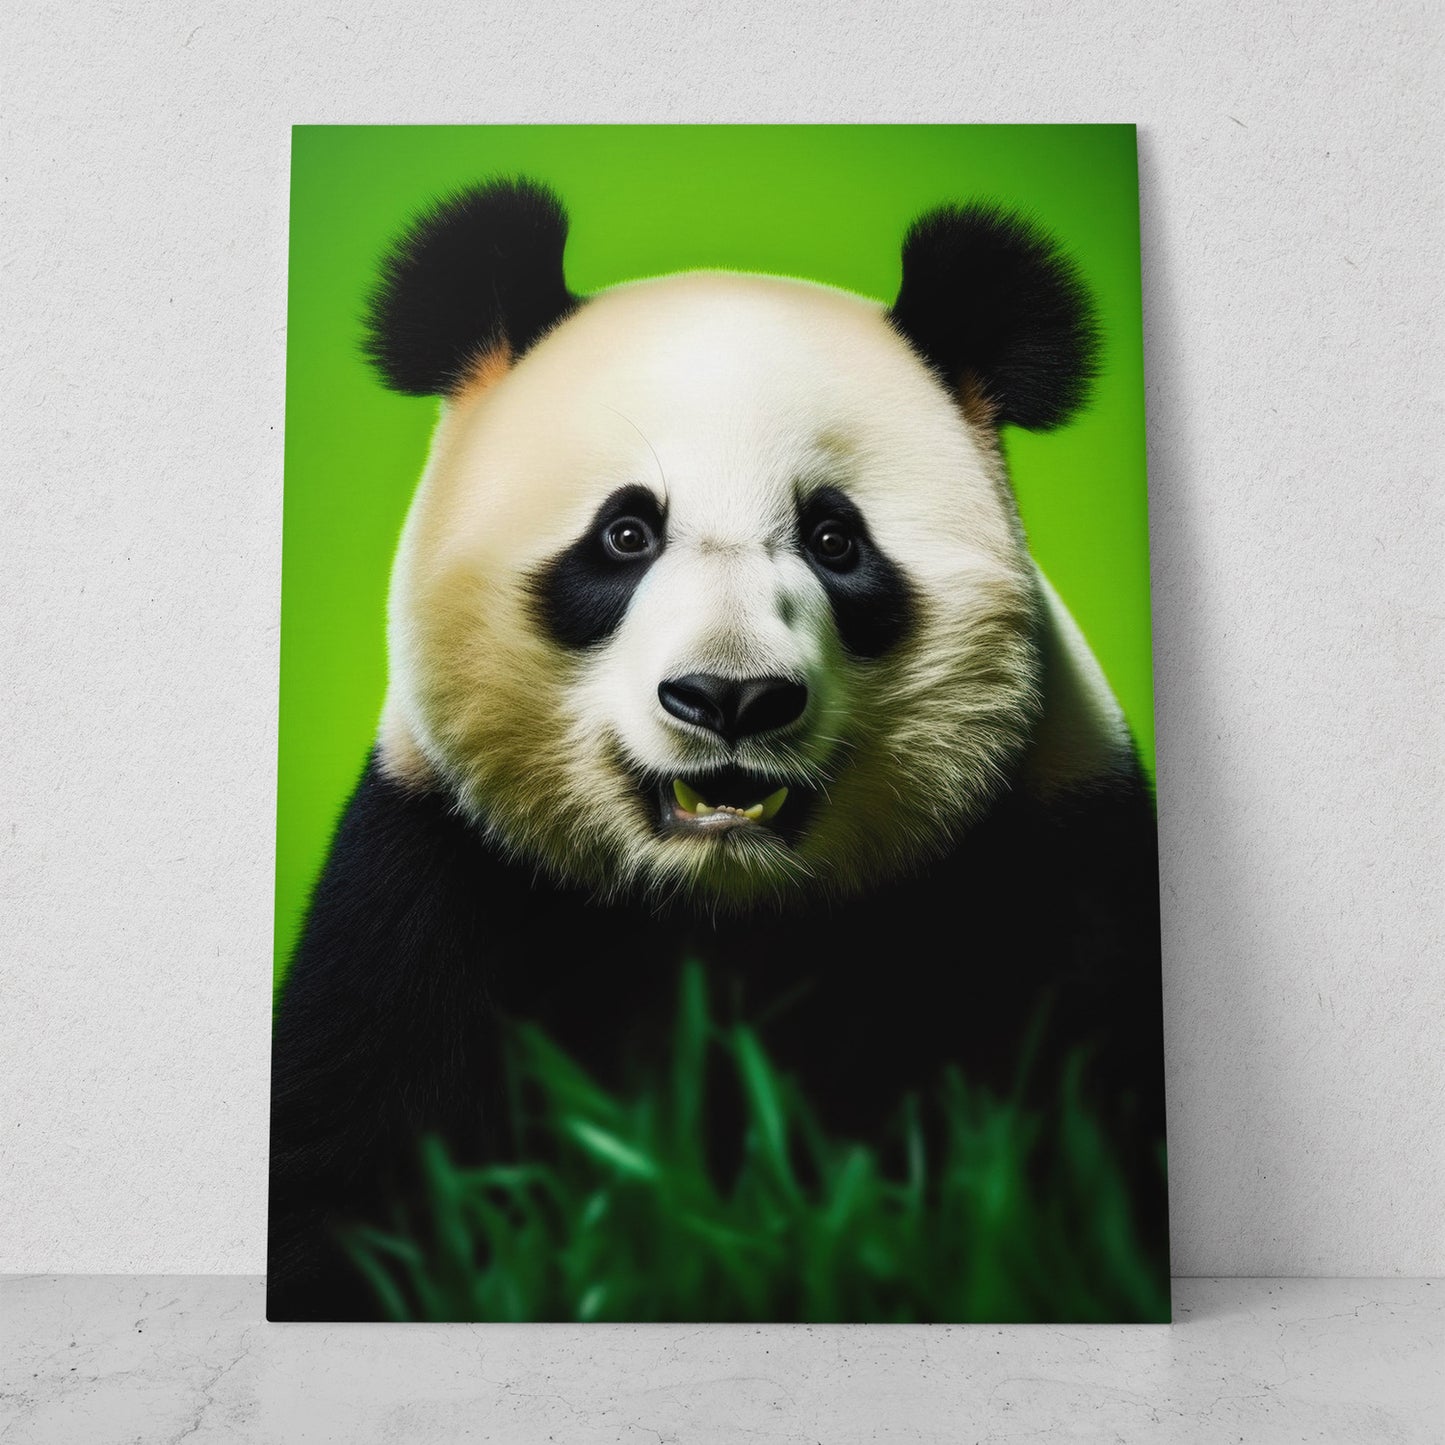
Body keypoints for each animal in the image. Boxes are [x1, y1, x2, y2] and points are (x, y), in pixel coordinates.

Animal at [268, 179, 1167, 1320]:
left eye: (834, 539)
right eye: (624, 534)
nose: (730, 697)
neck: (720, 905)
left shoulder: (1058, 863)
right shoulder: (431, 875)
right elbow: (350, 1158)